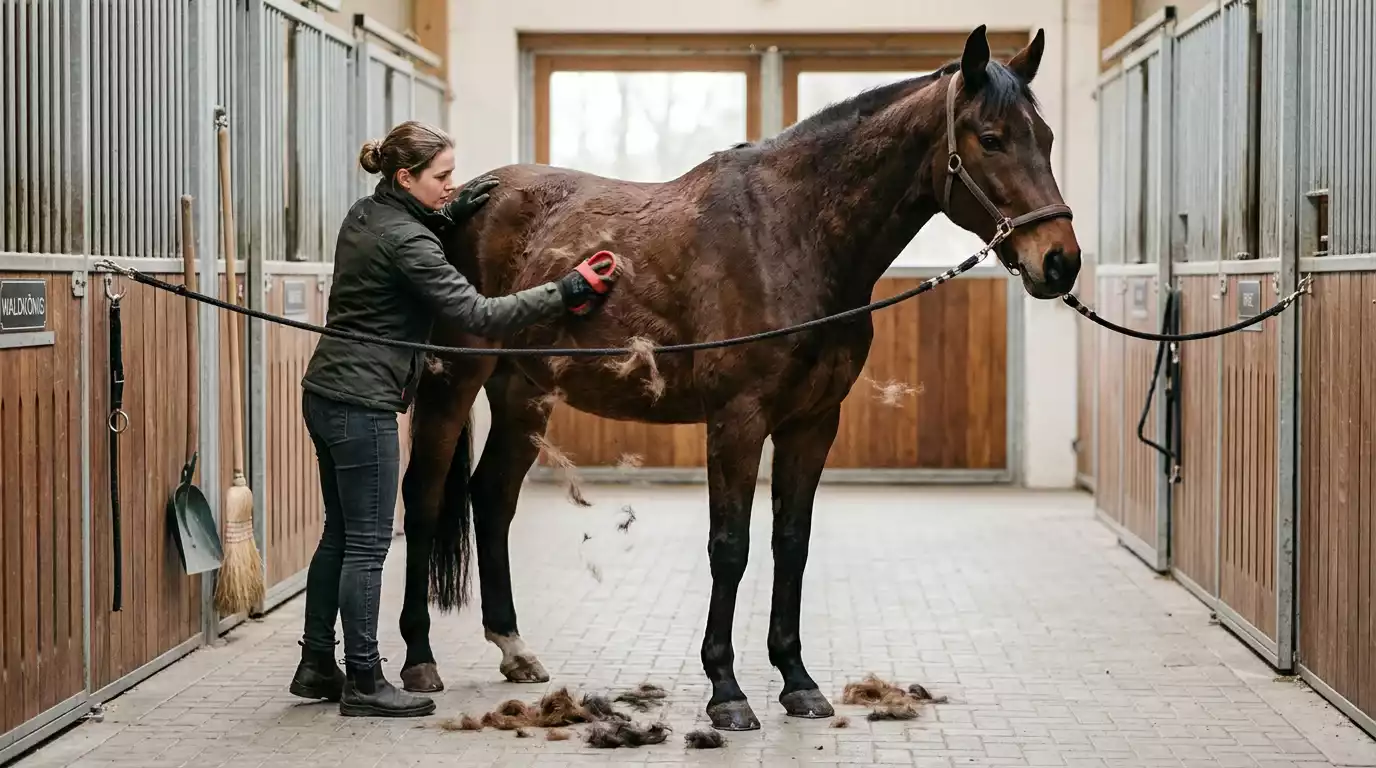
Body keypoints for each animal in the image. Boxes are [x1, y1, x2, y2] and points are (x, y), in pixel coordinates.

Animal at [394, 24, 1080, 731]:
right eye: (991, 138)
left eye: (1047, 138)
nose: (1060, 262)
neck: (790, 234)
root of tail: (456, 205)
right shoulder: (737, 420)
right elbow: (730, 546)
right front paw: (726, 690)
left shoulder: (812, 424)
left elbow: (791, 543)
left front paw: (798, 681)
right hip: (454, 382)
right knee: (423, 497)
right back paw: (420, 659)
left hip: (524, 393)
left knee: (492, 497)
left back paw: (514, 649)